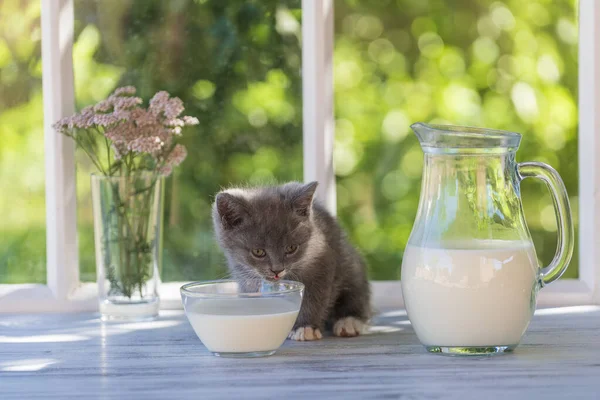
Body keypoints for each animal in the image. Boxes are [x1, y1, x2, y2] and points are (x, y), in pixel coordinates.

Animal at [211, 181, 370, 340]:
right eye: (258, 252)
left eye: (291, 248)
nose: (277, 270)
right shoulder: (243, 274)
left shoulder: (322, 259)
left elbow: (315, 296)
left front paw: (306, 327)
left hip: (350, 262)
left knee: (357, 293)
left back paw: (349, 322)